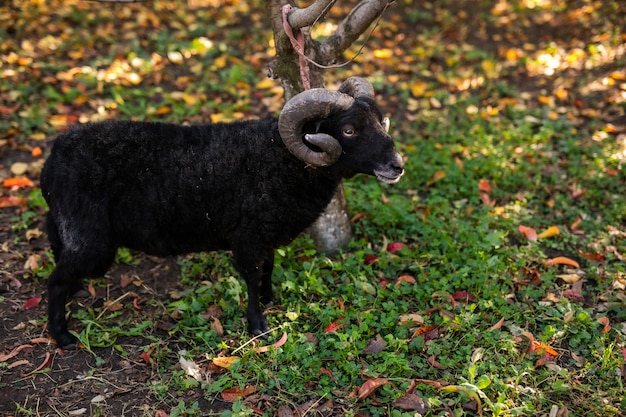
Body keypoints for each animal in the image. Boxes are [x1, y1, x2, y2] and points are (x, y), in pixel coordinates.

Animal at [41, 76, 402, 346]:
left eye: (379, 121)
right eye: (349, 130)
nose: (397, 165)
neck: (281, 158)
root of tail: (53, 159)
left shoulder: (265, 233)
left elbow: (268, 267)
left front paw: (270, 299)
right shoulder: (247, 238)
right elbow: (252, 276)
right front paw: (257, 325)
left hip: (70, 226)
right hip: (91, 238)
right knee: (55, 281)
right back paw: (62, 336)